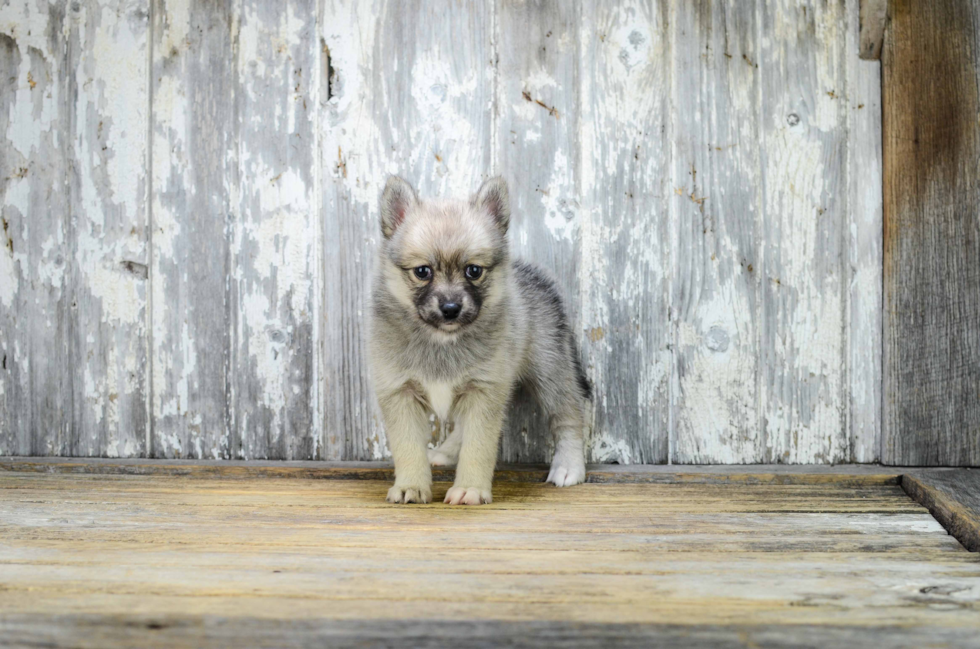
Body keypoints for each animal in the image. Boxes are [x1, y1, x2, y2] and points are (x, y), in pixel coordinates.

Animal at [370, 175, 588, 504]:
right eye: (422, 271)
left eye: (473, 271)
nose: (450, 309)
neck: (442, 341)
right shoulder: (402, 392)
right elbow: (409, 448)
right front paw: (411, 485)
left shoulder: (483, 391)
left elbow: (478, 447)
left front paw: (470, 488)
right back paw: (445, 453)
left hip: (551, 371)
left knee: (568, 415)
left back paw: (569, 466)